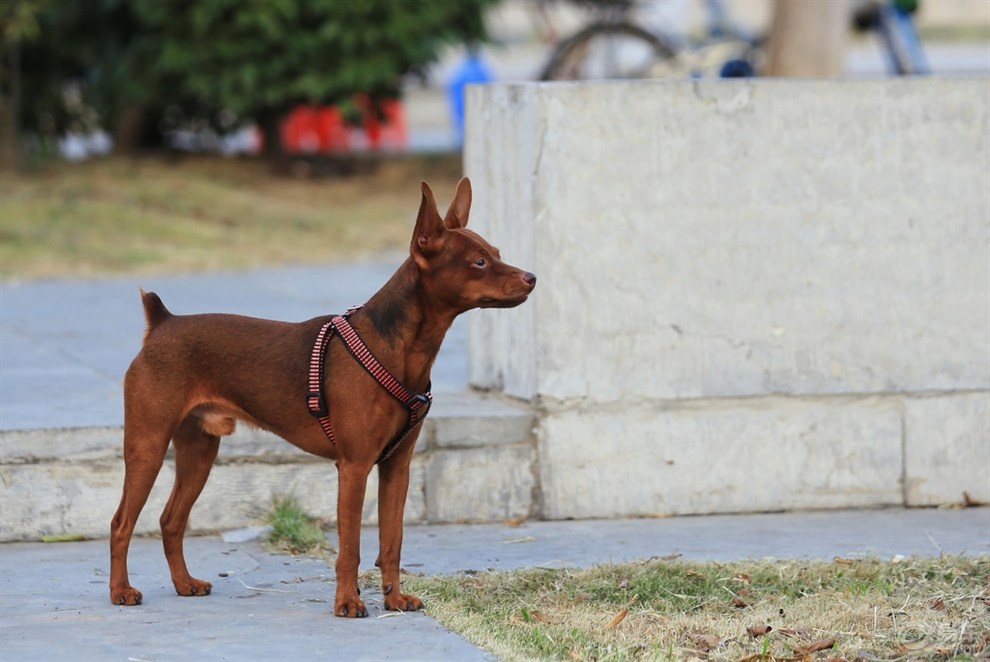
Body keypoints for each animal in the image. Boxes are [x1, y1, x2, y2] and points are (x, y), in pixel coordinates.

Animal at [110, 179, 536, 620]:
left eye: (497, 252)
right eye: (479, 262)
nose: (532, 278)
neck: (396, 346)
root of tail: (162, 323)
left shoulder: (397, 467)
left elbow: (393, 541)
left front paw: (394, 599)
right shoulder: (354, 467)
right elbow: (350, 547)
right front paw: (348, 602)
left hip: (199, 452)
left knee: (170, 520)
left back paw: (183, 584)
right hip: (148, 447)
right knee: (122, 522)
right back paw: (121, 590)